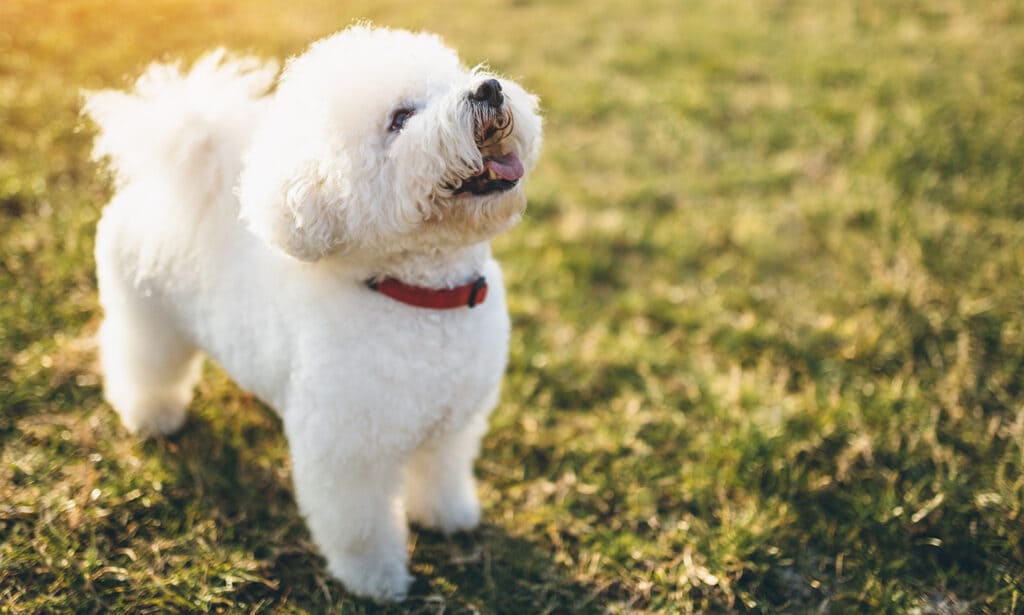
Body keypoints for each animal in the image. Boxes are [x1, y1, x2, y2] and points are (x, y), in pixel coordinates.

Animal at [82, 26, 544, 601]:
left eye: (454, 79)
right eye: (400, 118)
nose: (488, 89)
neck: (419, 297)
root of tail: (154, 185)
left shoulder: (452, 425)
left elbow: (440, 475)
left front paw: (448, 517)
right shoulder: (348, 452)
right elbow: (360, 526)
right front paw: (377, 582)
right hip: (148, 317)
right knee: (141, 362)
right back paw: (152, 417)